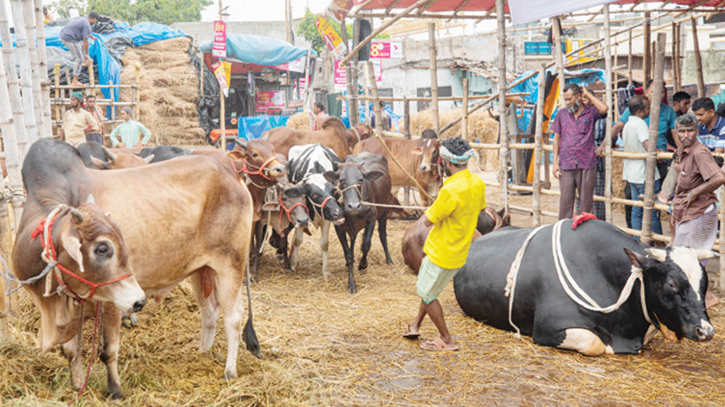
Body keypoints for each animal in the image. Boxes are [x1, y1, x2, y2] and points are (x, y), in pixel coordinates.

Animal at [12, 140, 256, 398]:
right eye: (102, 248)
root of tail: (233, 175)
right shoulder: (73, 302)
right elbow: (70, 350)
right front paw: (77, 387)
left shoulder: (111, 301)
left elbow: (108, 350)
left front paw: (115, 391)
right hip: (202, 270)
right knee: (208, 312)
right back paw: (202, 355)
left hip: (231, 264)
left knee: (233, 317)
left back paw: (229, 371)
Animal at [288, 142, 346, 278]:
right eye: (314, 194)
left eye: (334, 191)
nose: (337, 212)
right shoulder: (301, 216)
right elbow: (297, 241)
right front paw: (293, 265)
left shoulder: (327, 218)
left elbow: (324, 243)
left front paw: (326, 272)